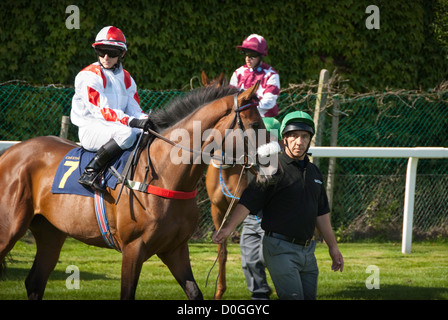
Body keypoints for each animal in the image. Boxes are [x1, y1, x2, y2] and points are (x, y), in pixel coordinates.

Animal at [0, 83, 274, 300]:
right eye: (254, 124)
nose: (272, 164)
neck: (165, 174)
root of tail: (10, 152)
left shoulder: (175, 249)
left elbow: (194, 292)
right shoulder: (133, 249)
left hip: (51, 233)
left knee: (34, 282)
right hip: (10, 229)